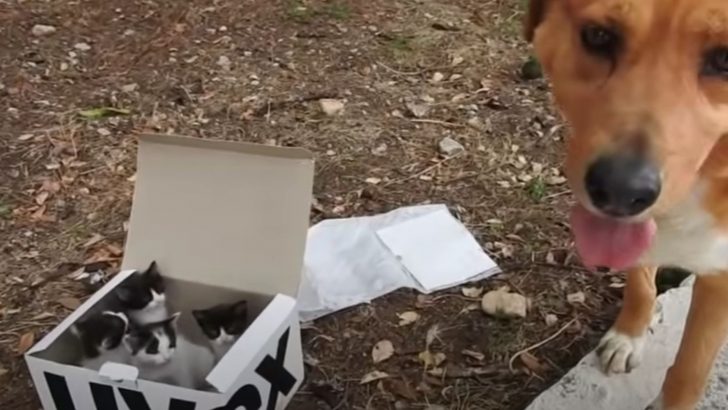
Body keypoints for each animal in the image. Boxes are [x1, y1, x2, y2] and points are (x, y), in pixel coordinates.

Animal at [528, 0, 728, 410]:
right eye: (599, 35)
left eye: (726, 58)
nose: (620, 191)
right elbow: (640, 284)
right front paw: (629, 334)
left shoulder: (721, 278)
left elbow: (690, 369)